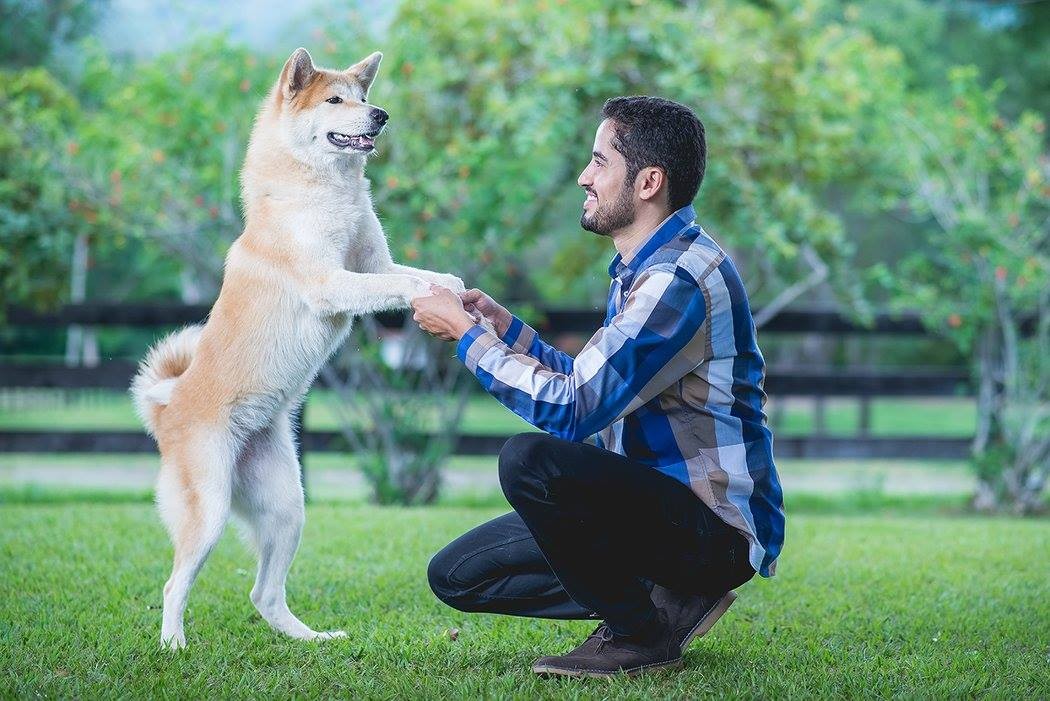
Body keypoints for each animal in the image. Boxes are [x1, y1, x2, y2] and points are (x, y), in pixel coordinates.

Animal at [128, 48, 464, 650]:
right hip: (209, 512)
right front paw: (433, 297)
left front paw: (454, 286)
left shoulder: (373, 261)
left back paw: (310, 639)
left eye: (362, 96)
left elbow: (412, 273)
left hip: (288, 509)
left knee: (263, 594)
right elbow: (397, 286)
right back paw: (173, 646)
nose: (380, 115)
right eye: (335, 100)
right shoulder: (334, 280)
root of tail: (167, 409)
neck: (323, 190)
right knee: (173, 586)